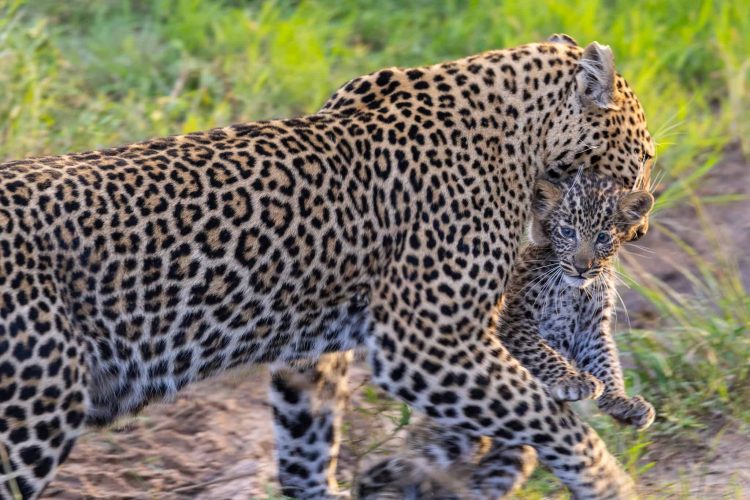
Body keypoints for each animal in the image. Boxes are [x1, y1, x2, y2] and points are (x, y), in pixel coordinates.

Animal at [355, 172, 656, 500]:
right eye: (567, 231)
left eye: (602, 237)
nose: (581, 267)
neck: (574, 288)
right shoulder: (515, 322)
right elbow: (544, 353)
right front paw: (572, 380)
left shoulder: (592, 329)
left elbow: (606, 364)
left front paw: (621, 402)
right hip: (448, 437)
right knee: (388, 473)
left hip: (511, 454)